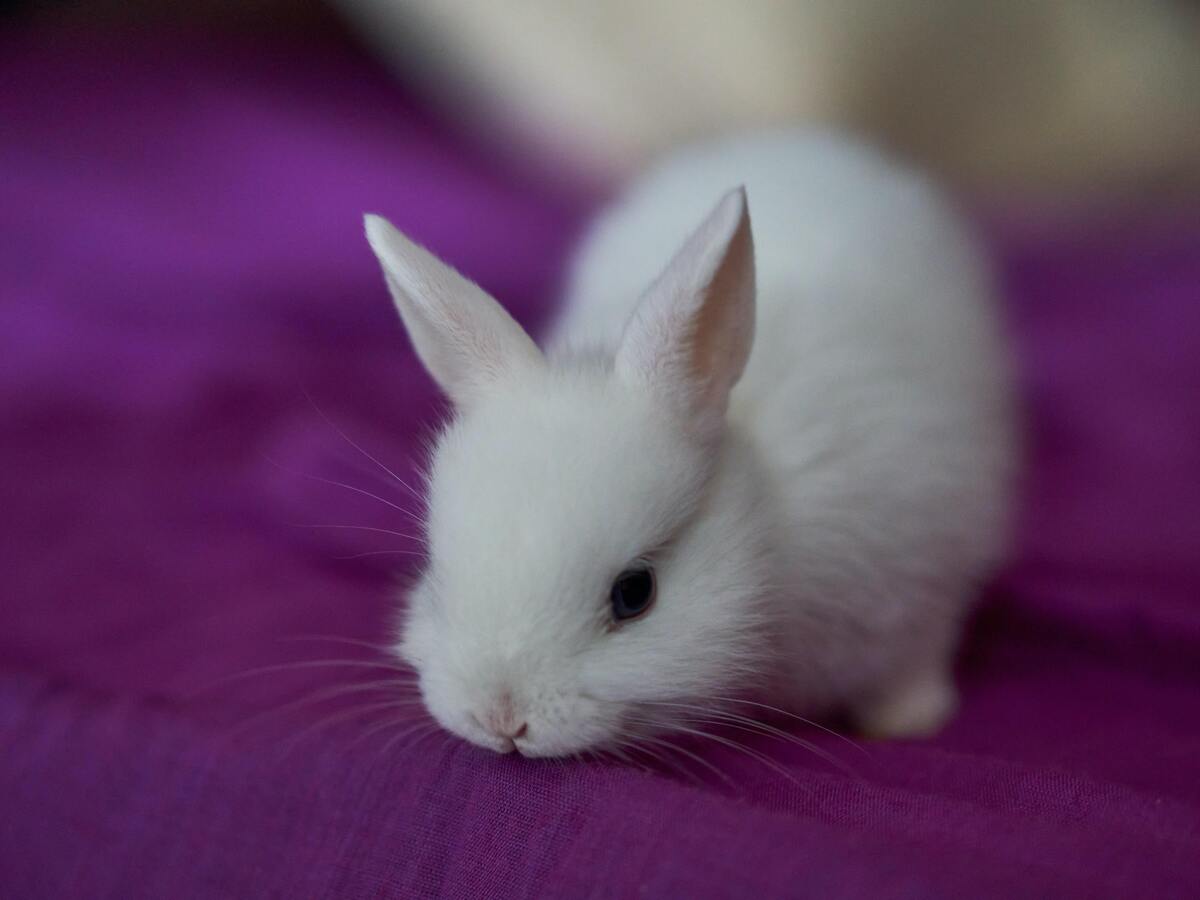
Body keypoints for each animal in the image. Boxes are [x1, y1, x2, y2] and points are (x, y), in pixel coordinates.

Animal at [362, 130, 1012, 758]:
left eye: (635, 593)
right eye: (439, 575)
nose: (501, 719)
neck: (766, 528)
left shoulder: (920, 572)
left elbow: (915, 656)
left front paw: (908, 720)